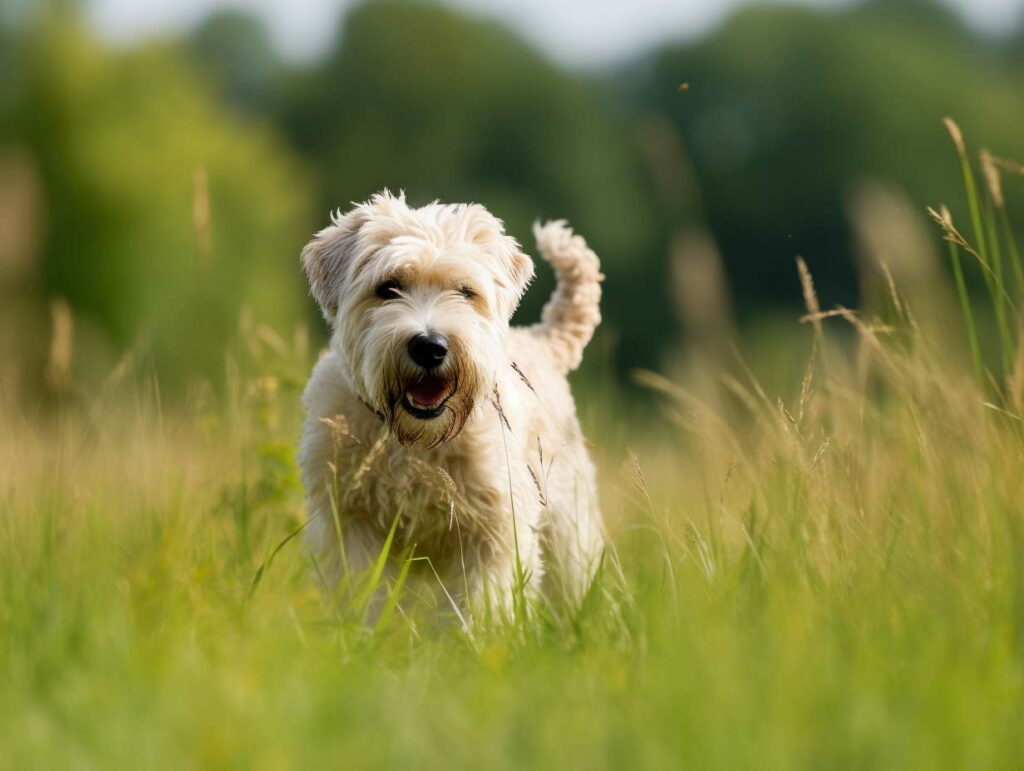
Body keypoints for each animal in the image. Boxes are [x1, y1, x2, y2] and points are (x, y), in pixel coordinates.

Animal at [296, 191, 602, 614]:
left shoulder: (493, 532)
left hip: (568, 528)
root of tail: (543, 341)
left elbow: (481, 607)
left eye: (465, 291)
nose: (429, 346)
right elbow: (364, 596)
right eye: (388, 287)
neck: (415, 443)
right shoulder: (349, 521)